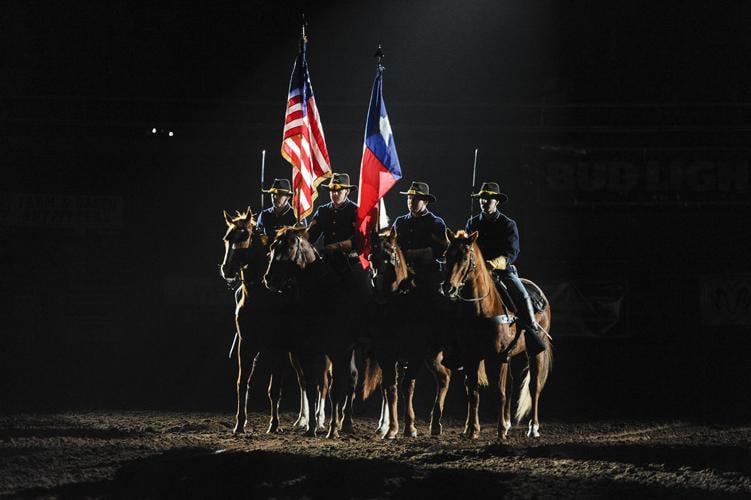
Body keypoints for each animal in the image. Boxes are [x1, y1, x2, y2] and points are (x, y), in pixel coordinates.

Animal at [440, 229, 552, 438]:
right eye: (447, 255)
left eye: (465, 257)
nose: (448, 287)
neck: (482, 309)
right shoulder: (471, 357)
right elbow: (473, 391)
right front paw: (472, 429)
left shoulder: (498, 357)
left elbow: (499, 391)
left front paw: (500, 432)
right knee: (511, 385)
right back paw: (508, 423)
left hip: (534, 353)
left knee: (534, 387)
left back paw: (533, 428)